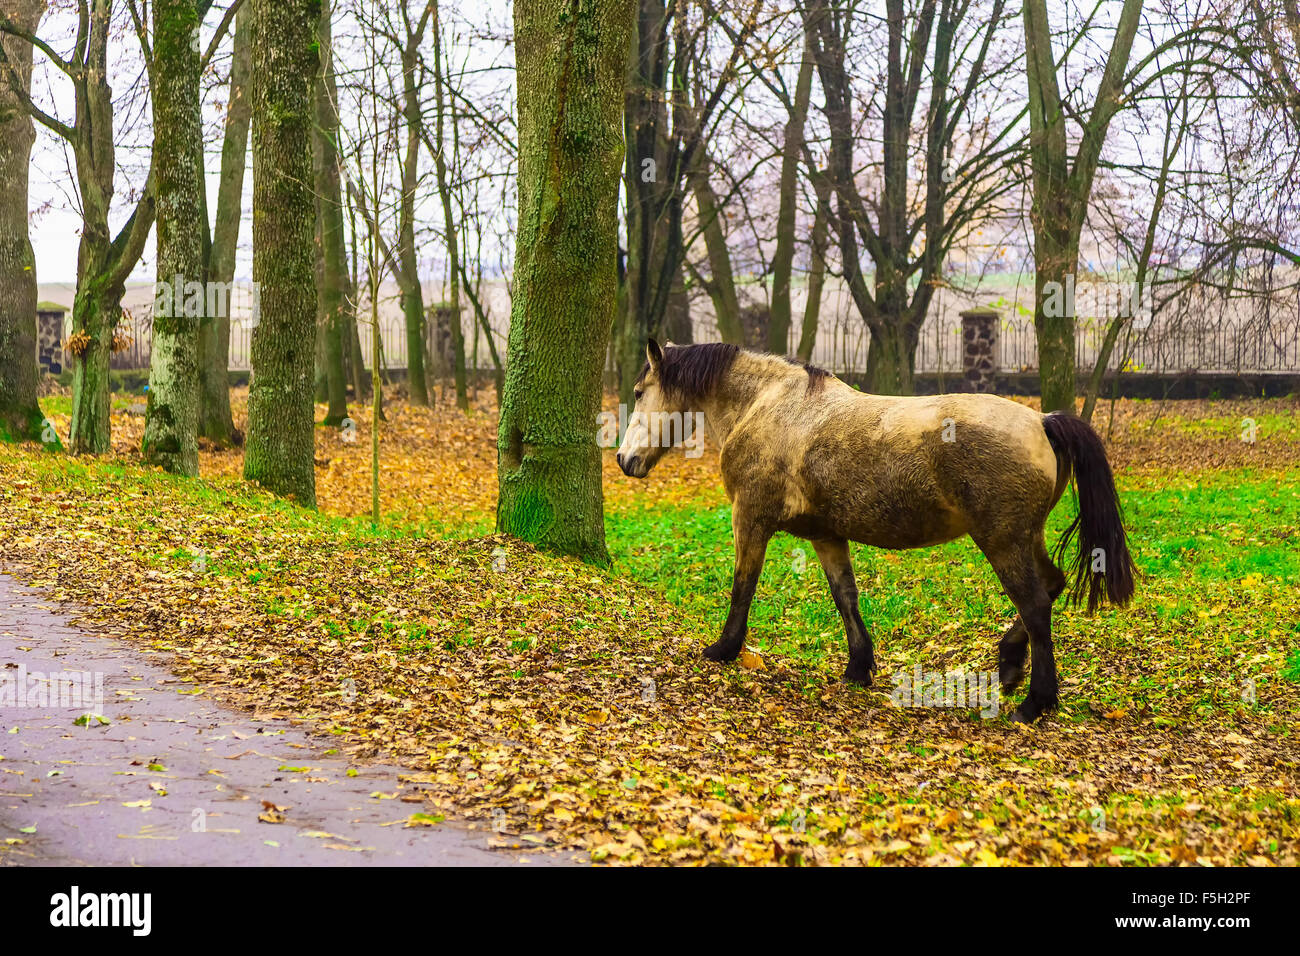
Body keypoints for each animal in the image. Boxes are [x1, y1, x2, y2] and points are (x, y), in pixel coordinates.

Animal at [613, 340, 1133, 723]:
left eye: (638, 392)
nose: (622, 460)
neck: (768, 406)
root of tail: (1042, 420)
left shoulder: (751, 519)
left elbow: (743, 586)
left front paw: (724, 649)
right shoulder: (826, 535)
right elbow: (845, 597)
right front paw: (858, 667)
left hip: (1002, 541)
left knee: (1036, 604)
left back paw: (1035, 702)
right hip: (1025, 537)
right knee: (1052, 585)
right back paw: (1009, 666)